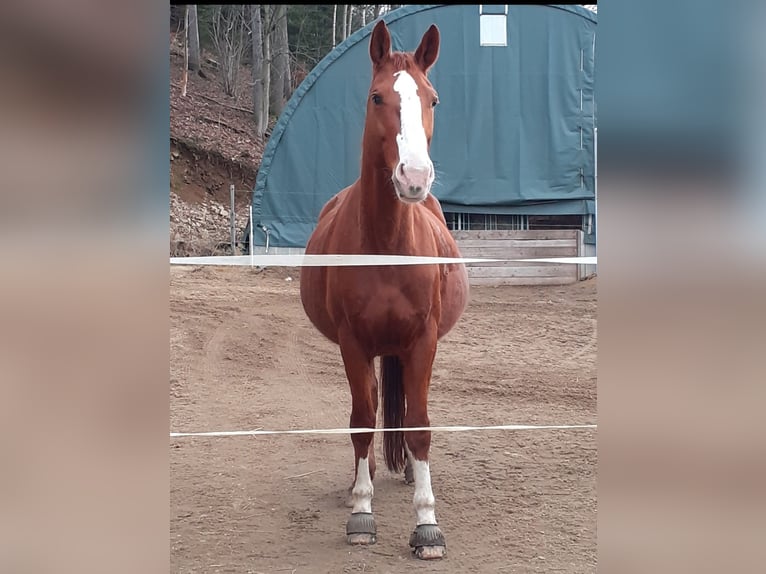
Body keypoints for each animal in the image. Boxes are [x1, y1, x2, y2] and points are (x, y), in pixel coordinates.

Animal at [299, 20, 469, 560]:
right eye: (377, 98)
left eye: (432, 99)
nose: (413, 177)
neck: (388, 247)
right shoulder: (354, 343)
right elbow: (360, 419)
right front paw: (361, 513)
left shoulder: (423, 342)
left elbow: (419, 425)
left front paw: (427, 524)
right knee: (370, 410)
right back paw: (368, 477)